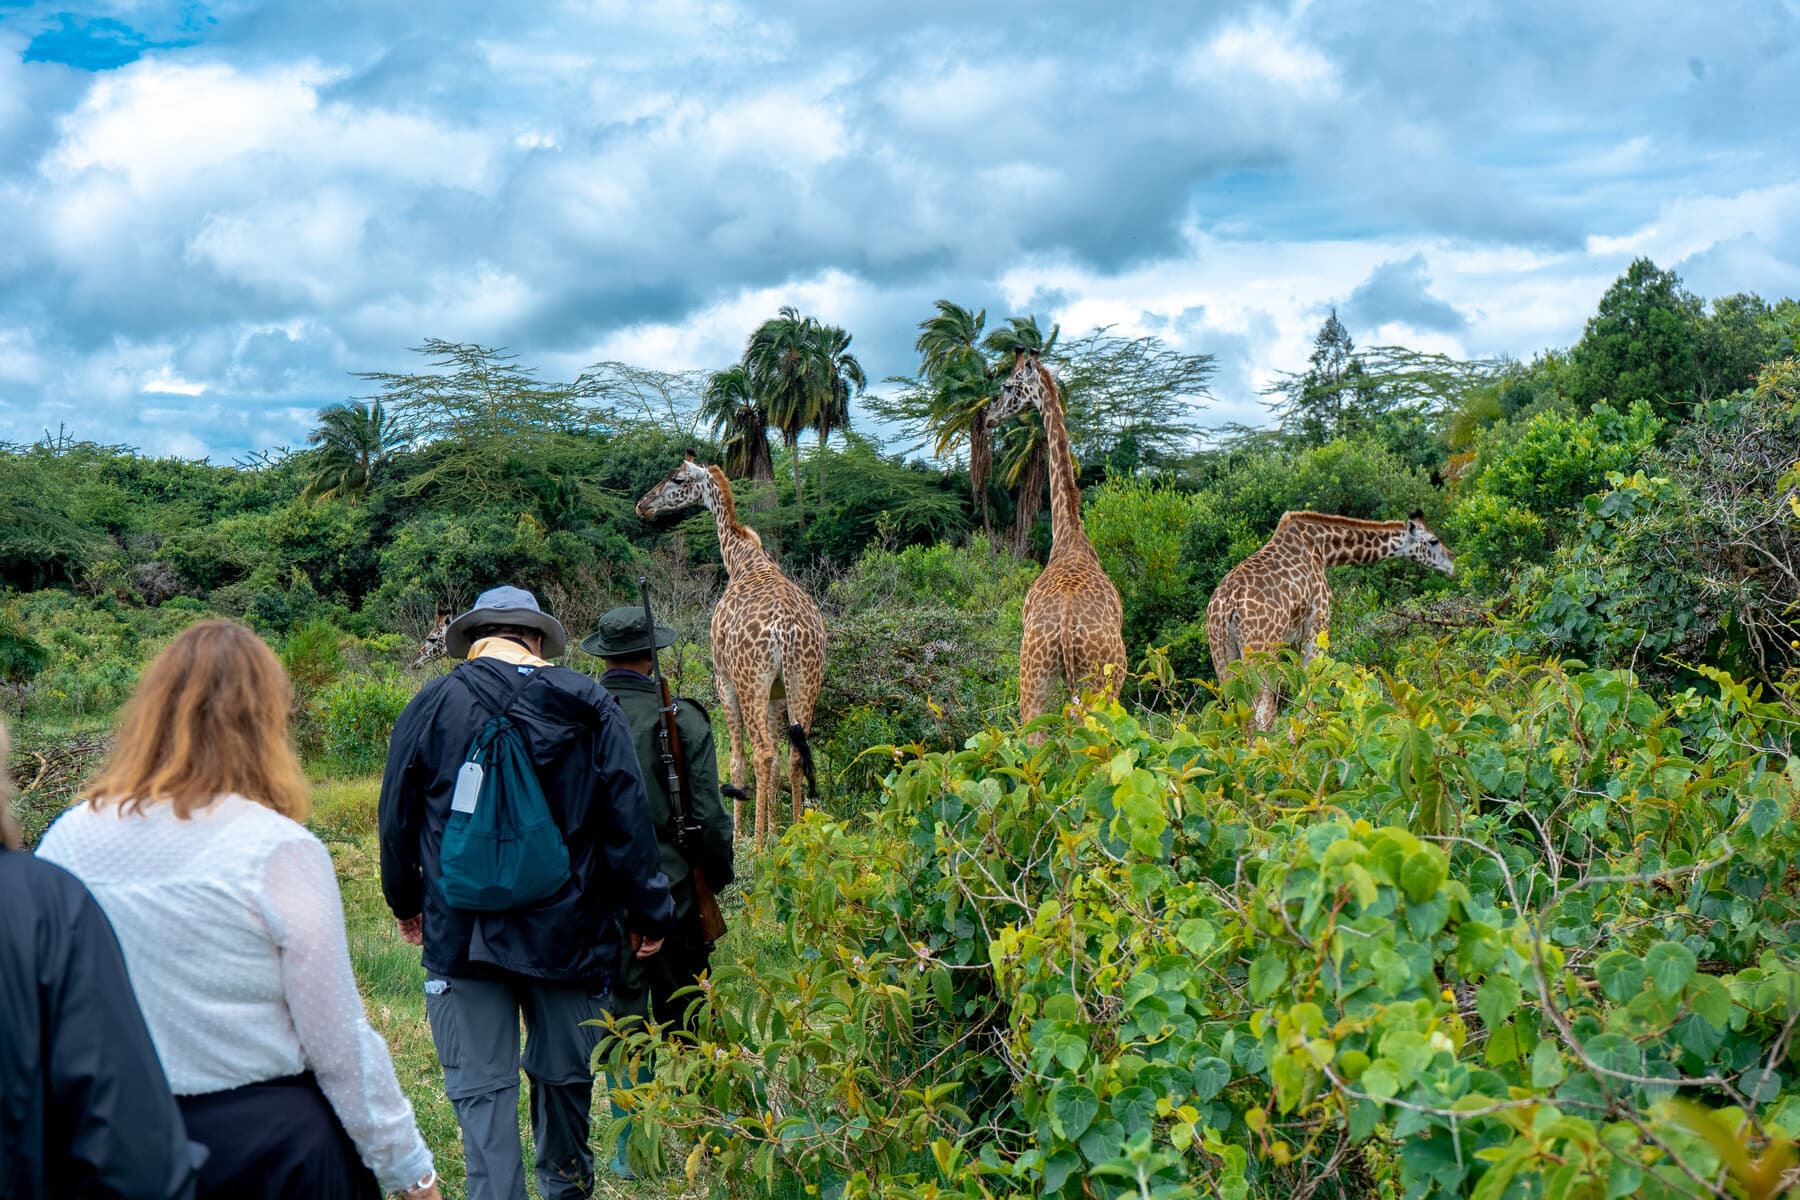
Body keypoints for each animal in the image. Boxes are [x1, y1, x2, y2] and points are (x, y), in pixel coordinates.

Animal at [636, 454, 827, 847]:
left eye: (677, 479)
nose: (642, 506)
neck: (740, 558)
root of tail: (786, 631)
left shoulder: (723, 680)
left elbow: (736, 761)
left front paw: (743, 836)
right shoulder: (777, 692)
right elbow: (780, 755)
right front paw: (775, 831)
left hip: (749, 681)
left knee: (761, 753)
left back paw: (755, 845)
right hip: (805, 679)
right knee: (793, 753)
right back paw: (798, 834)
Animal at [985, 349, 1127, 735]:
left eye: (1007, 386)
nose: (988, 418)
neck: (1069, 535)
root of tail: (1064, 626)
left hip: (1034, 679)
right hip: (1102, 683)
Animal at [1205, 510, 1455, 729]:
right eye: (1433, 540)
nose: (1453, 563)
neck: (1323, 548)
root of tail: (1228, 604)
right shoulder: (1317, 622)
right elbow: (1310, 692)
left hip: (1222, 655)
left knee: (1236, 711)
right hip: (1260, 651)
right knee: (1261, 712)